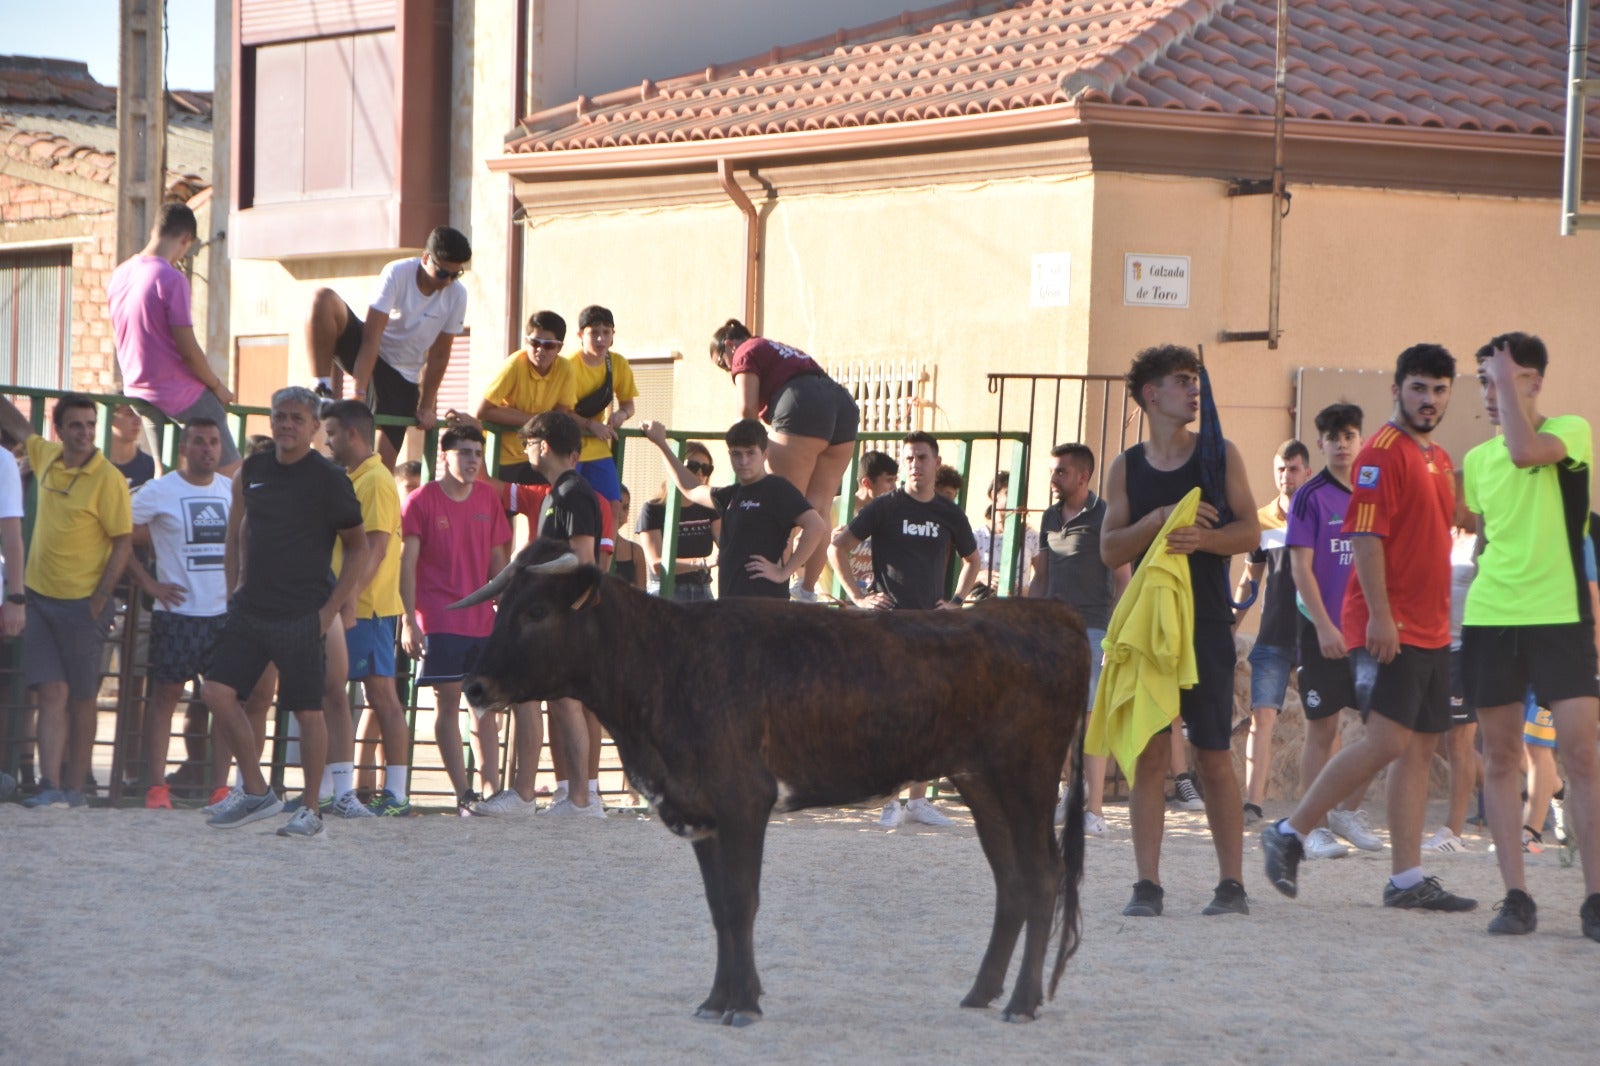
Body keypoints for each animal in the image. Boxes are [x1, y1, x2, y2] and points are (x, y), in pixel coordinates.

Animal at [457, 534, 1094, 1024]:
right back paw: (981, 993)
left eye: (536, 612)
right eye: (503, 607)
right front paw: (717, 999)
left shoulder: (743, 801)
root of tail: (1049, 612)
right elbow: (719, 906)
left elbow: (742, 901)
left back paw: (1022, 1003)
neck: (670, 660)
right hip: (981, 782)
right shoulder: (701, 812)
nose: (474, 687)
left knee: (1042, 877)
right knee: (1011, 882)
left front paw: (743, 1004)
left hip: (1027, 777)